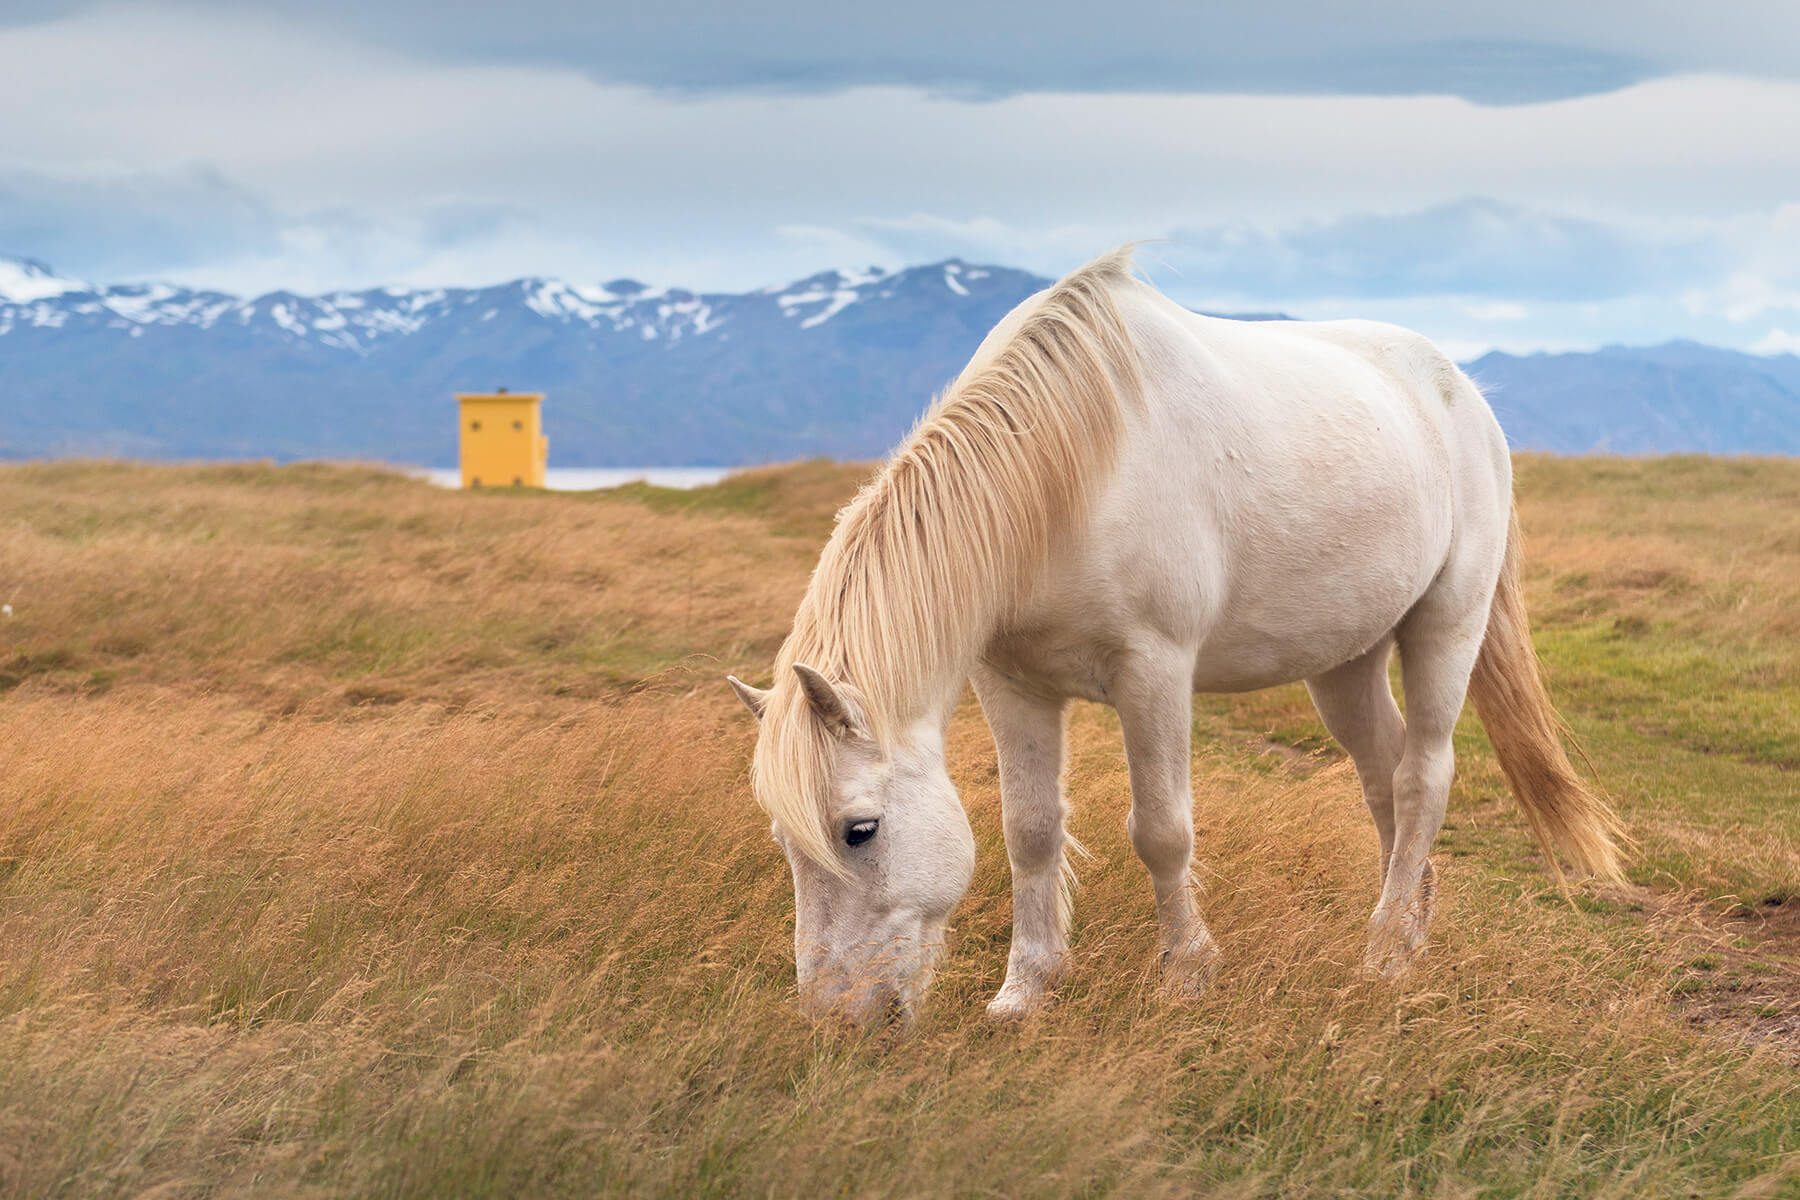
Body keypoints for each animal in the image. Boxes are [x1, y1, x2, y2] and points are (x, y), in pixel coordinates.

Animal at [723, 246, 1627, 1021]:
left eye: (860, 831)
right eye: (782, 839)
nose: (838, 1018)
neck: (1070, 471)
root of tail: (1461, 392)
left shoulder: (1153, 673)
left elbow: (1161, 830)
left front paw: (1188, 973)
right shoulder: (1012, 684)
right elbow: (1029, 831)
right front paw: (1027, 989)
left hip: (1447, 623)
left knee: (1422, 777)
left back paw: (1380, 954)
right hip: (1345, 662)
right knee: (1385, 778)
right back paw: (1409, 933)